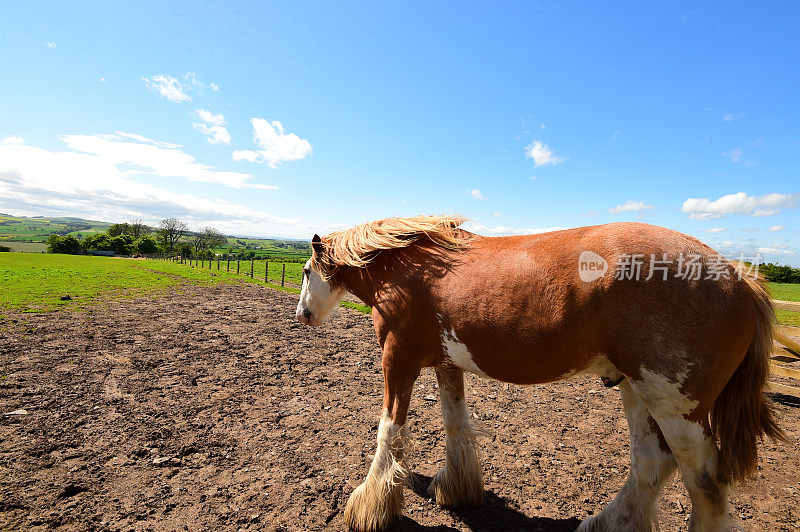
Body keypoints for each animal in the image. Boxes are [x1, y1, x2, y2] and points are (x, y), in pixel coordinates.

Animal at [296, 215, 788, 532]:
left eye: (304, 271)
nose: (302, 314)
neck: (410, 268)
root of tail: (741, 279)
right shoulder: (446, 363)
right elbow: (456, 425)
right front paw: (456, 488)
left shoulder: (398, 361)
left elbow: (389, 431)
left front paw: (369, 507)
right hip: (638, 390)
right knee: (652, 463)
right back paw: (607, 523)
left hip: (675, 406)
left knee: (703, 485)